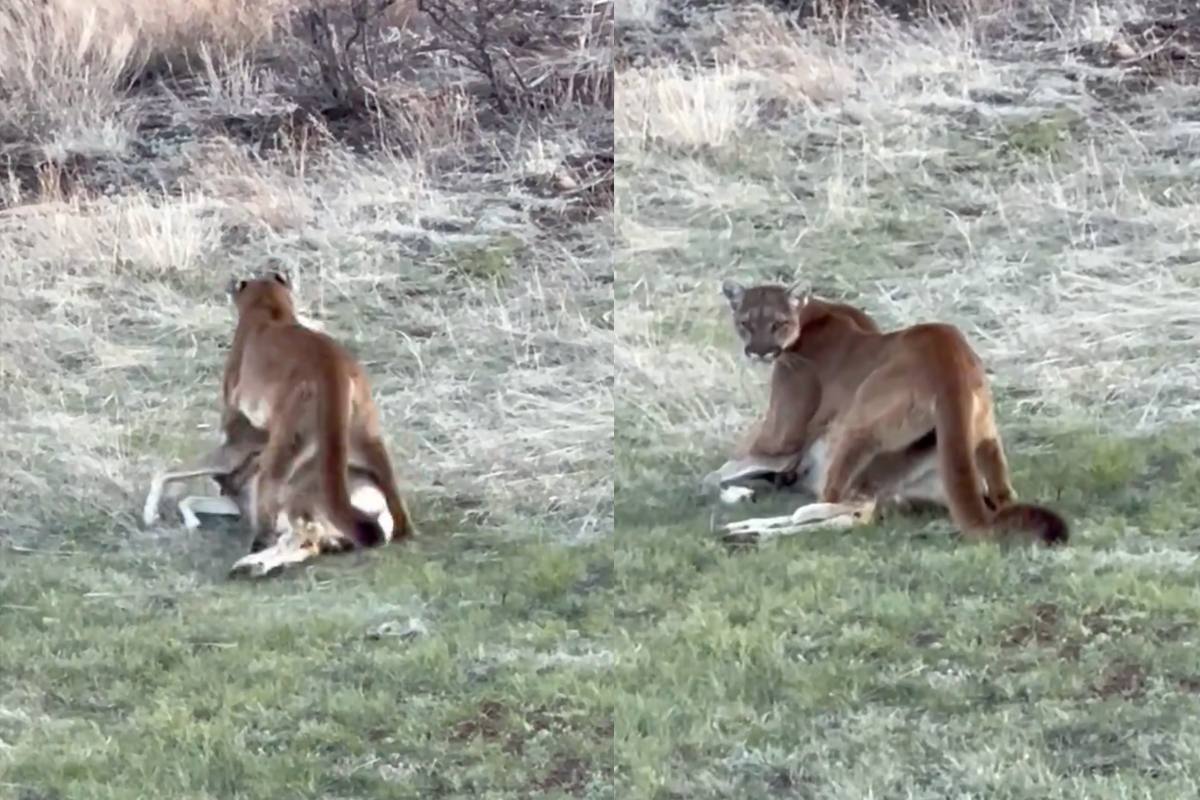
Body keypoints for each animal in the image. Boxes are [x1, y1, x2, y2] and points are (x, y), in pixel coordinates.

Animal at [707, 280, 1068, 546]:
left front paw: (736, 492)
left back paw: (751, 528)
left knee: (849, 507)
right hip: (984, 435)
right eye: (745, 324)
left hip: (857, 425)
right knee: (1002, 493)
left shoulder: (782, 438)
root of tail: (949, 362)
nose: (759, 352)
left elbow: (715, 474)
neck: (814, 312)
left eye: (778, 324)